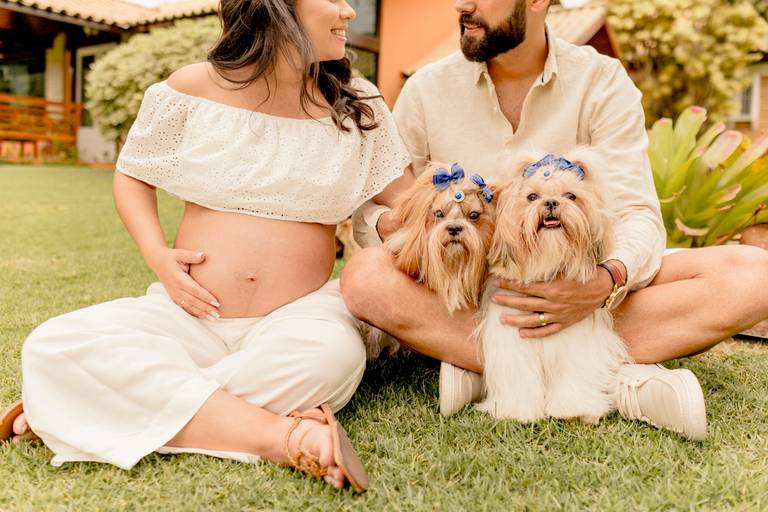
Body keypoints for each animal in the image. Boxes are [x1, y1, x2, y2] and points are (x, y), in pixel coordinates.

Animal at [476, 151, 631, 424]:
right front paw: (516, 411)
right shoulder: (512, 341)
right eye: (532, 197)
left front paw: (575, 410)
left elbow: (574, 375)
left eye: (571, 195)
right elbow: (519, 376)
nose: (550, 203)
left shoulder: (576, 341)